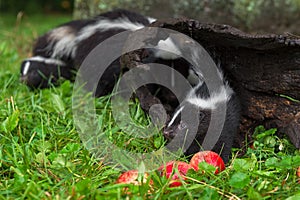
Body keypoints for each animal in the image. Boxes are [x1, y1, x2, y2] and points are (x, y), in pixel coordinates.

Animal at [19, 9, 240, 162]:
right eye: (168, 71)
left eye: (186, 71)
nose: (173, 95)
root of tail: (85, 29)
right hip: (95, 58)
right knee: (96, 80)